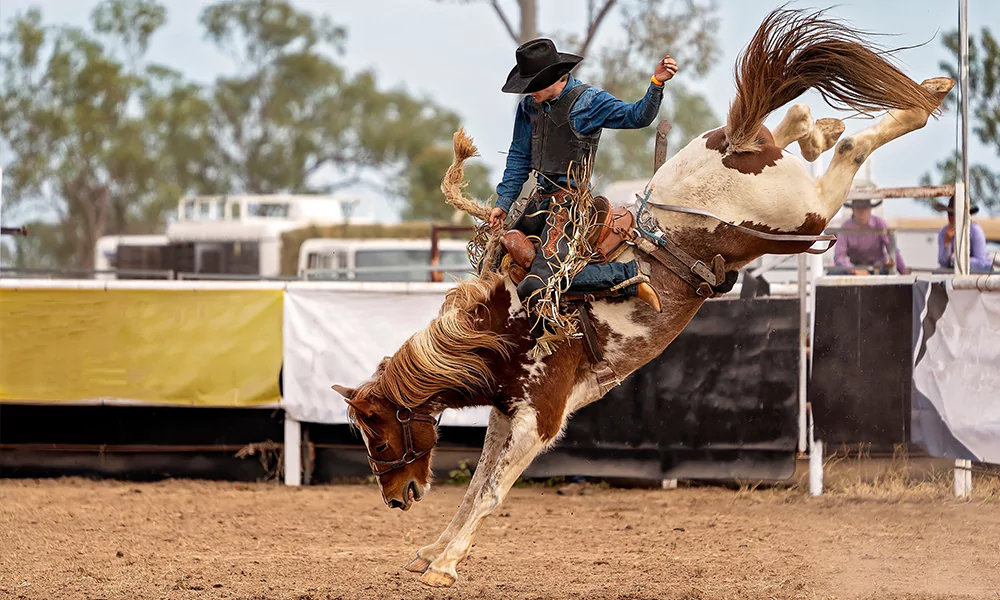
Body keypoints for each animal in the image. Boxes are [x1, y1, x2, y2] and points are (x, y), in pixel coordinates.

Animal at [331, 7, 953, 588]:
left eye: (377, 437)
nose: (396, 498)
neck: (507, 327)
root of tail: (732, 144)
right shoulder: (508, 415)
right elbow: (478, 483)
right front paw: (432, 551)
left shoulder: (539, 418)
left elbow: (489, 491)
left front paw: (445, 564)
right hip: (777, 201)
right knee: (793, 128)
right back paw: (837, 118)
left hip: (804, 217)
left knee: (850, 149)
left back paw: (922, 99)